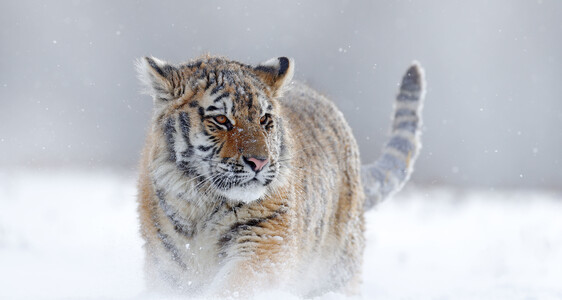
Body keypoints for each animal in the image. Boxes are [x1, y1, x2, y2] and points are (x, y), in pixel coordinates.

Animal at [137, 54, 424, 298]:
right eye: (221, 119)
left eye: (264, 119)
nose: (259, 162)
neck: (202, 205)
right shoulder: (165, 268)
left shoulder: (264, 241)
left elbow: (234, 285)